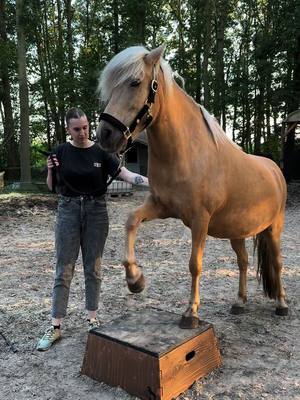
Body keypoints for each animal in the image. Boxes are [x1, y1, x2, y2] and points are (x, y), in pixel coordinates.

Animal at [96, 46, 288, 328]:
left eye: (135, 82)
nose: (105, 135)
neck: (188, 153)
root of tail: (275, 170)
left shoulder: (200, 219)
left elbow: (194, 264)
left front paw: (191, 313)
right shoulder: (160, 206)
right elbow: (131, 221)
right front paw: (135, 280)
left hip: (274, 228)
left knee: (277, 262)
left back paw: (282, 304)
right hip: (237, 232)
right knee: (242, 262)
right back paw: (239, 302)